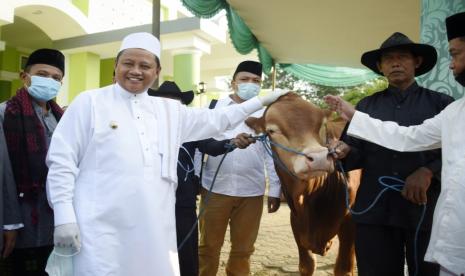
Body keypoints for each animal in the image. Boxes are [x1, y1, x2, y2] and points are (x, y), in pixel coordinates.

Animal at [246, 93, 358, 276]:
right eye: (271, 131)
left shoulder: (351, 223)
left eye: (322, 125)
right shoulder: (297, 224)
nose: (319, 157)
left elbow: (343, 269)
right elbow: (306, 265)